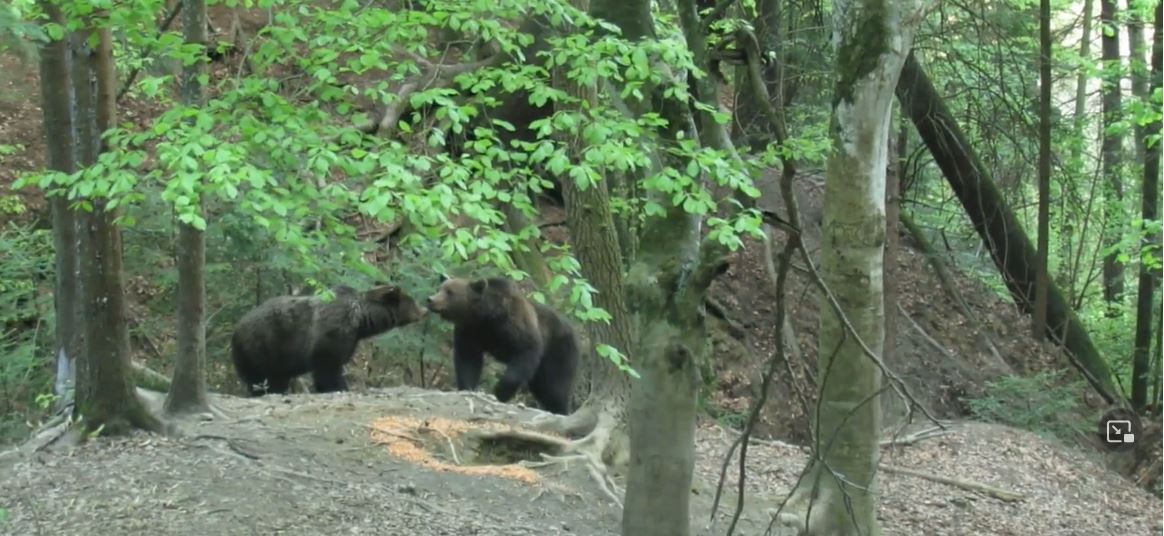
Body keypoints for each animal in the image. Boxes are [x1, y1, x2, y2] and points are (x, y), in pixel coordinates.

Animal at [230, 283, 425, 396]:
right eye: (412, 301)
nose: (424, 308)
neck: (361, 319)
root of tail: (236, 328)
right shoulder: (331, 335)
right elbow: (329, 367)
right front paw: (339, 387)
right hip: (262, 346)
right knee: (260, 377)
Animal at [425, 274, 579, 415]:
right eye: (440, 288)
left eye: (450, 292)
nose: (430, 299)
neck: (485, 316)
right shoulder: (470, 331)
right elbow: (468, 360)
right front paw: (467, 387)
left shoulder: (514, 325)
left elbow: (525, 351)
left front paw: (500, 391)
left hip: (558, 351)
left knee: (555, 387)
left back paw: (560, 410)